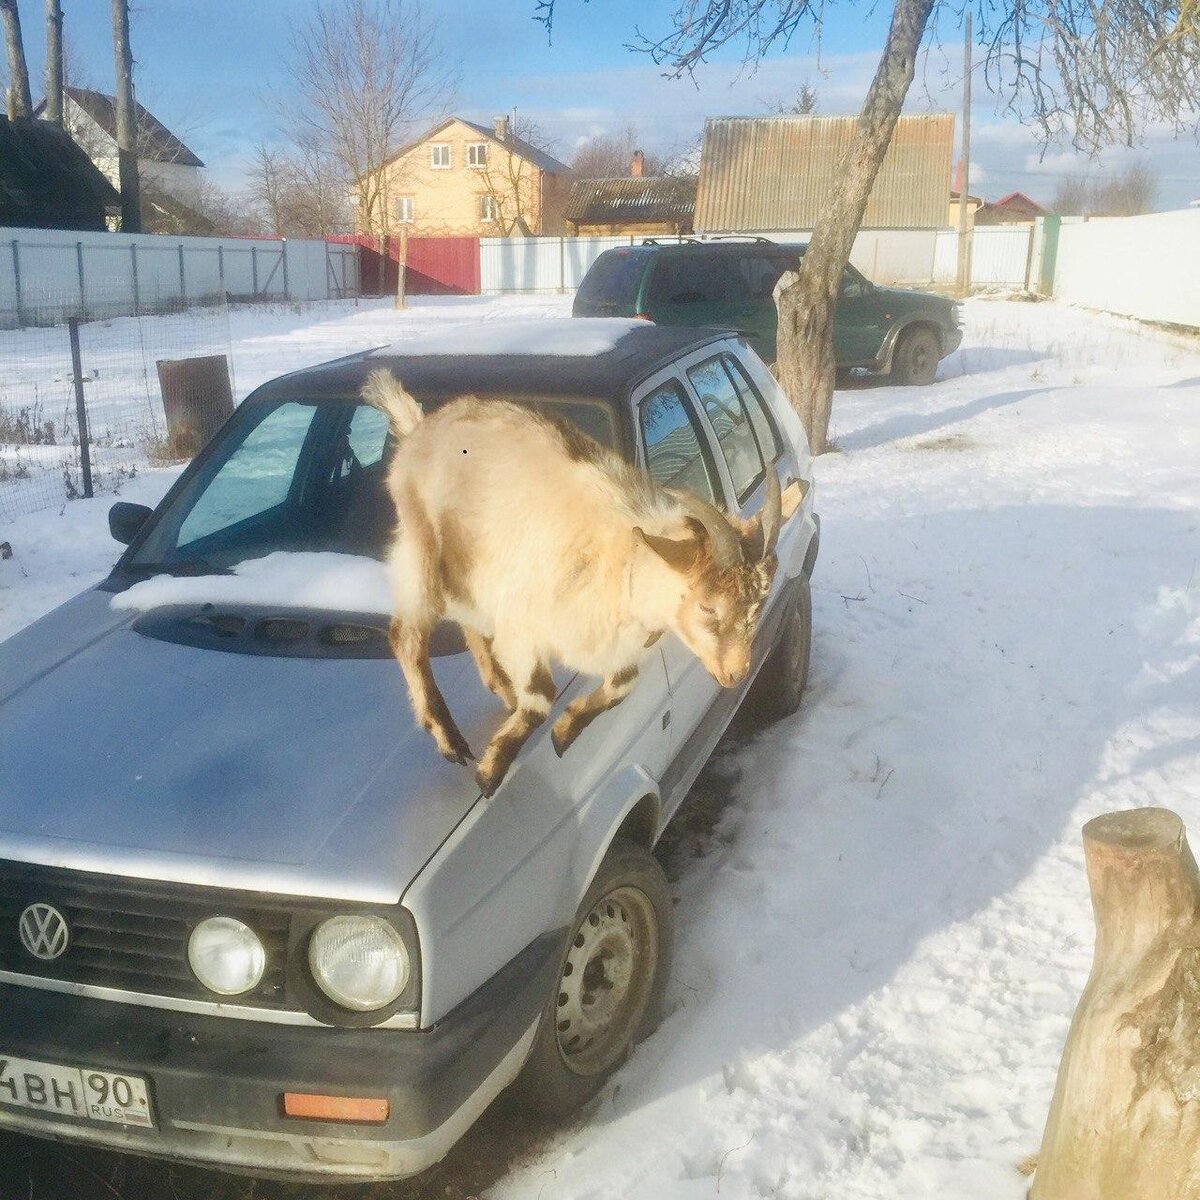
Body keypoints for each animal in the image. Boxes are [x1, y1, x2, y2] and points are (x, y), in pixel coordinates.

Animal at [360, 364, 801, 796]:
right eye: (708, 606)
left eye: (759, 602)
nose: (736, 674)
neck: (619, 558)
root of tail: (419, 428)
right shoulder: (524, 627)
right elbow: (541, 695)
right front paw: (490, 770)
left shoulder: (619, 648)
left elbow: (622, 685)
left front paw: (563, 732)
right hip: (423, 549)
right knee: (406, 634)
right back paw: (450, 740)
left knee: (468, 625)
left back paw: (503, 691)